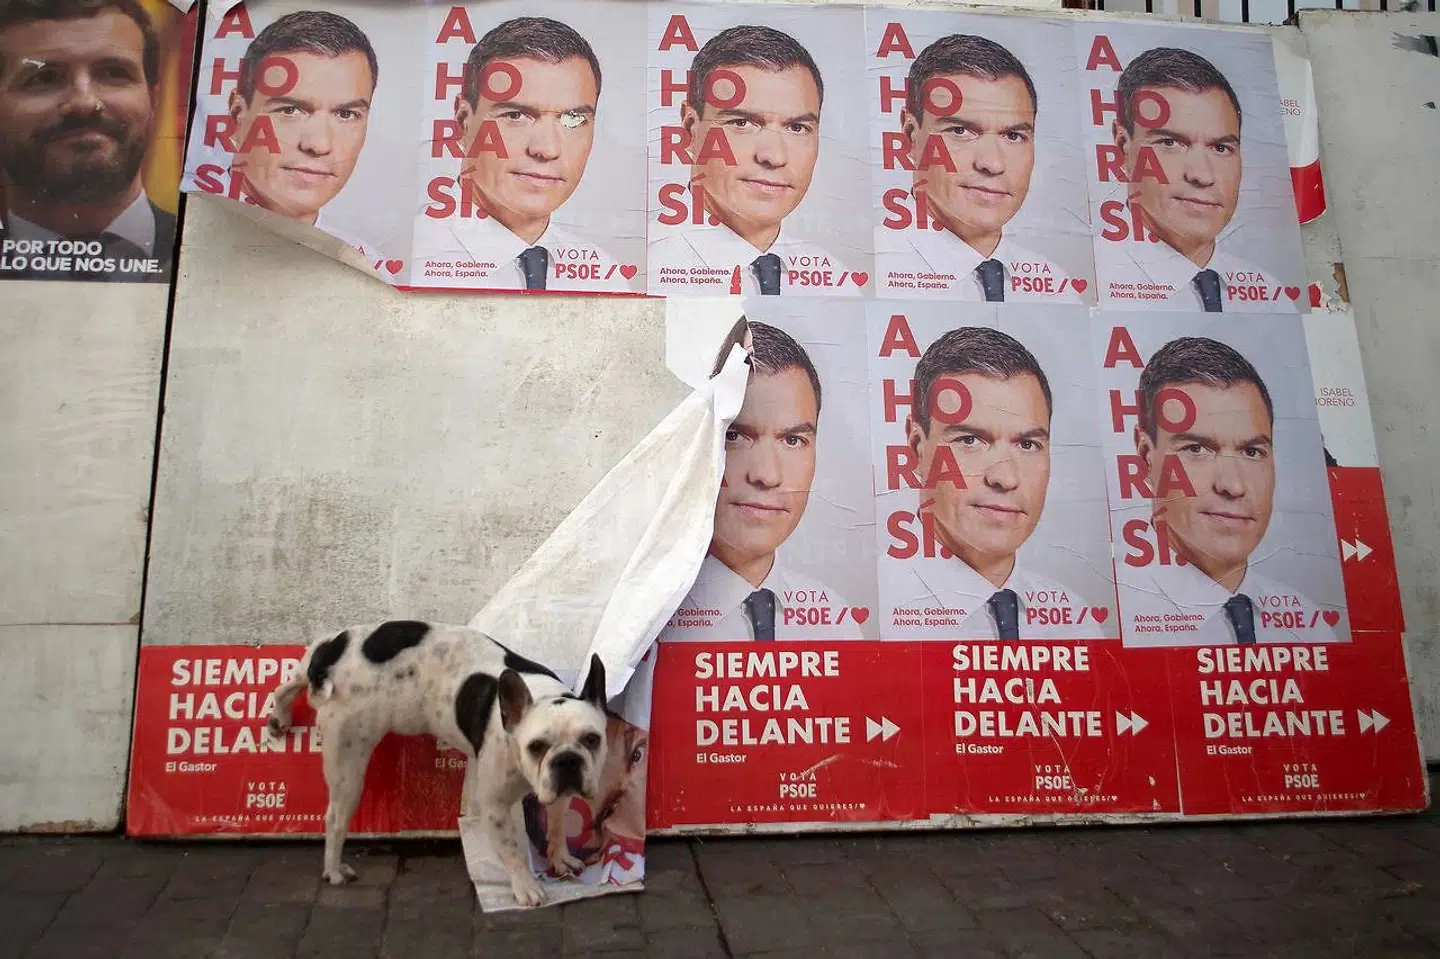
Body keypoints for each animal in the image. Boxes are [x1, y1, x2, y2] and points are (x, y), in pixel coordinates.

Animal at [263, 620, 609, 907]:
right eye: (536, 746)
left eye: (593, 739)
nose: (567, 759)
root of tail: (334, 655)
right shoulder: (495, 806)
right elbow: (512, 849)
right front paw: (525, 886)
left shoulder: (560, 791)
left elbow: (558, 825)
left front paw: (560, 857)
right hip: (348, 759)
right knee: (335, 817)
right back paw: (334, 870)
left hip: (318, 665)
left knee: (291, 679)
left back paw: (279, 717)